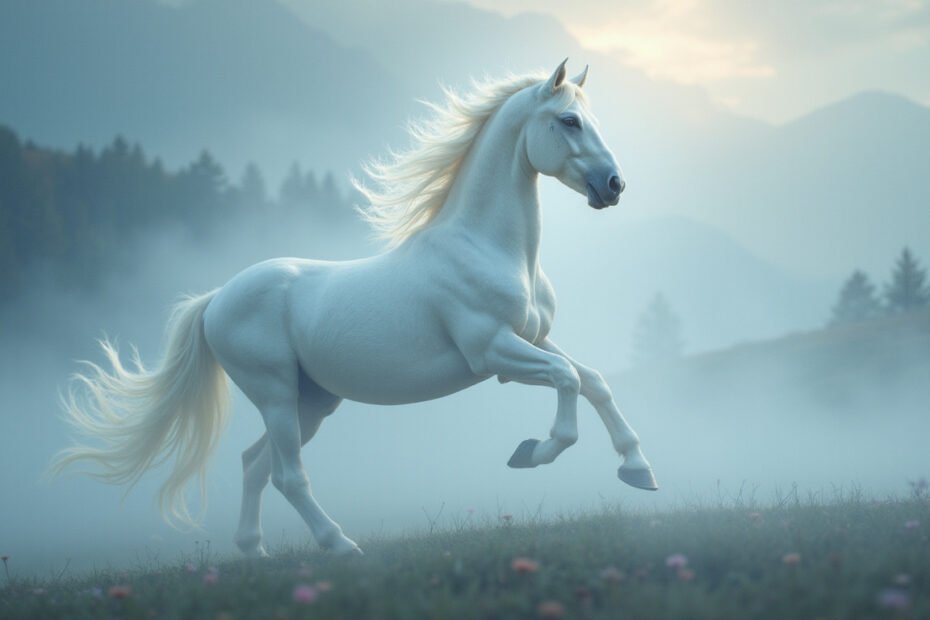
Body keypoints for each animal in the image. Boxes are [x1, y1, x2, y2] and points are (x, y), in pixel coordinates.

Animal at [52, 59, 658, 557]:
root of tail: (215, 300)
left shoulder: (532, 339)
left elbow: (593, 380)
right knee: (287, 475)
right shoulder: (494, 354)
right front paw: (531, 452)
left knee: (255, 464)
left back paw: (254, 551)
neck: (490, 248)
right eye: (569, 121)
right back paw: (340, 546)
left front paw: (639, 470)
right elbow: (567, 383)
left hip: (312, 402)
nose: (614, 185)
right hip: (275, 392)